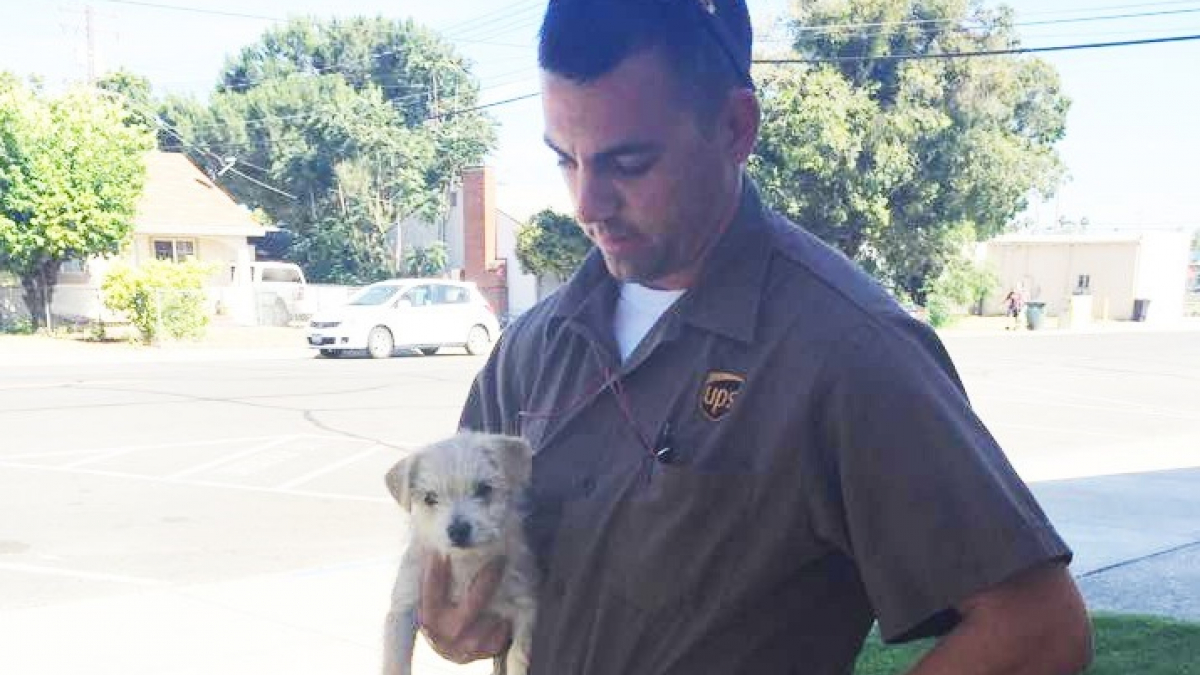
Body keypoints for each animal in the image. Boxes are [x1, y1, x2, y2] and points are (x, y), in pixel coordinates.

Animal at [384, 429, 540, 672]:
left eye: (483, 489)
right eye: (430, 498)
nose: (458, 530)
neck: (466, 564)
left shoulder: (525, 604)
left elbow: (518, 651)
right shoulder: (403, 605)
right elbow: (395, 660)